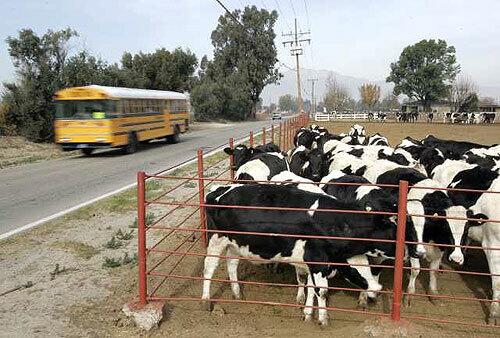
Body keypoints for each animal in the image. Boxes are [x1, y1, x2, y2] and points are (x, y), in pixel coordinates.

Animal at [203, 185, 418, 324]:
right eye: (393, 231)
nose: (412, 251)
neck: (336, 221)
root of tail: (218, 191)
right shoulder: (317, 260)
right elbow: (320, 291)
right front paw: (322, 318)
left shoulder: (314, 263)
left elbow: (310, 287)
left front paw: (307, 313)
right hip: (216, 239)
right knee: (209, 267)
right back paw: (206, 301)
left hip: (235, 244)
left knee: (231, 265)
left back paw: (237, 293)